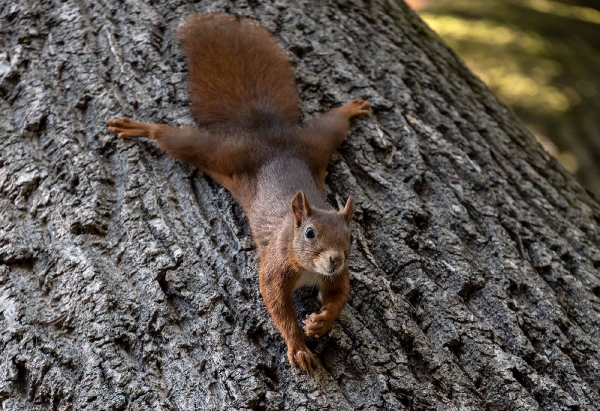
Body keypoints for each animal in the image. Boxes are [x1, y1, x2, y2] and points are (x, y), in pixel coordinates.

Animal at [108, 13, 370, 376]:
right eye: (309, 232)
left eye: (350, 237)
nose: (334, 259)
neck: (310, 268)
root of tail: (265, 132)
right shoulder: (275, 265)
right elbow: (276, 303)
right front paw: (298, 346)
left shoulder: (336, 276)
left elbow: (339, 296)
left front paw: (321, 323)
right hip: (225, 153)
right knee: (178, 140)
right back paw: (139, 128)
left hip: (316, 144)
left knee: (333, 124)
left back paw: (350, 108)